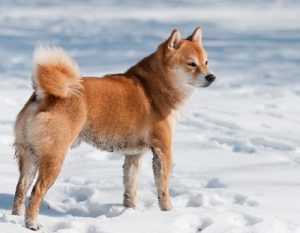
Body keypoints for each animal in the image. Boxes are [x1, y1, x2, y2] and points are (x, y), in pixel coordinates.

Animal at [11, 26, 213, 229]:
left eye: (206, 62)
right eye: (191, 64)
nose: (211, 77)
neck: (154, 87)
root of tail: (42, 94)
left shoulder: (134, 155)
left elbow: (130, 188)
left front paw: (130, 212)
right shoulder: (162, 149)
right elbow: (163, 188)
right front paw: (168, 212)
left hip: (29, 156)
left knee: (21, 188)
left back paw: (15, 218)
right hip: (54, 157)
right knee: (36, 191)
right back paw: (32, 223)